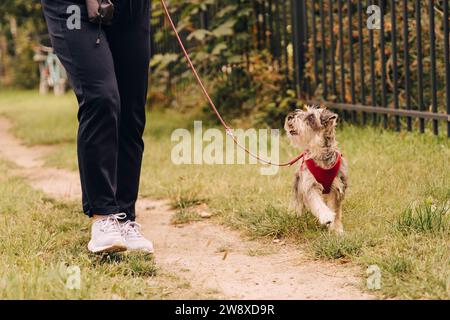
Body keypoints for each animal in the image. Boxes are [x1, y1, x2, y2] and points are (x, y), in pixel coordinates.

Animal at [284, 106, 348, 234]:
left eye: (311, 117)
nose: (290, 117)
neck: (320, 154)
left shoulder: (337, 187)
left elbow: (336, 211)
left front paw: (337, 230)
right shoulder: (309, 186)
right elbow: (317, 203)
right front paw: (326, 216)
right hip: (298, 185)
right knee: (298, 202)